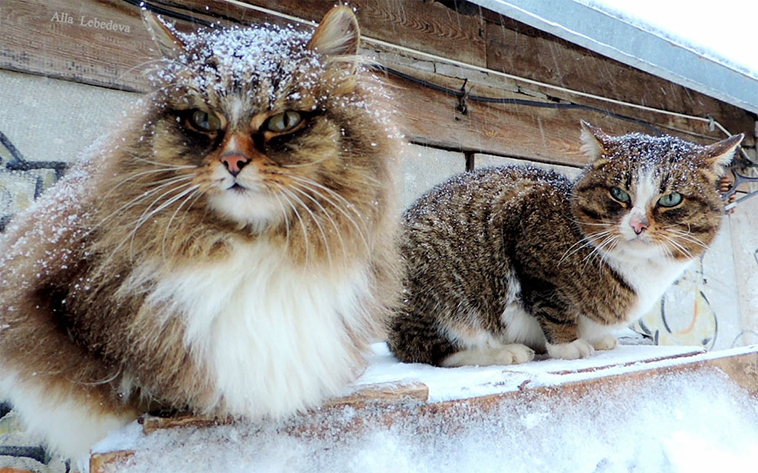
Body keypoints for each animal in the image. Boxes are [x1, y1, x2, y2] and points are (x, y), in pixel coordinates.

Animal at [392, 121, 744, 366]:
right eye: (619, 193)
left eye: (671, 198)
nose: (637, 225)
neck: (640, 271)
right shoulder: (525, 218)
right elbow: (553, 306)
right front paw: (568, 345)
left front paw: (599, 339)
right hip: (446, 290)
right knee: (430, 350)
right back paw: (503, 352)